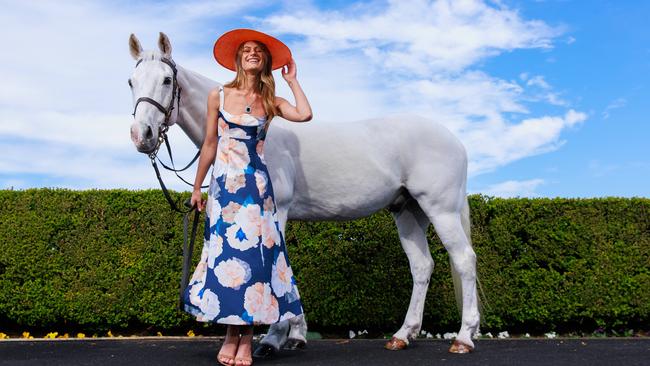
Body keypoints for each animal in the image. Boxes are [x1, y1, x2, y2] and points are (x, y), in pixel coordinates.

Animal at [126, 33, 478, 354]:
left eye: (167, 80)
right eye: (131, 81)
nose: (142, 135)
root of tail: (455, 140)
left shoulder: (276, 210)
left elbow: (275, 266)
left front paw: (272, 339)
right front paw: (295, 335)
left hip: (440, 210)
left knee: (464, 259)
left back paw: (463, 338)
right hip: (407, 211)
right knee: (422, 267)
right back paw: (403, 335)